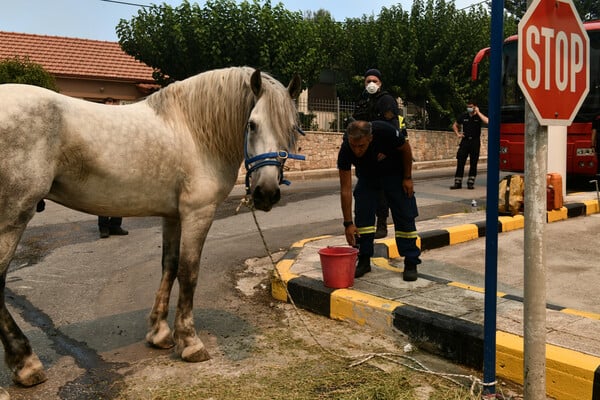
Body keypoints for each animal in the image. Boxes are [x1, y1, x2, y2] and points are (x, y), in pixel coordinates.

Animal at [0, 67, 300, 390]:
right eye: (252, 125)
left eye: (292, 129)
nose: (266, 193)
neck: (194, 132)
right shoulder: (198, 213)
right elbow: (189, 273)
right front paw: (190, 343)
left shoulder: (173, 216)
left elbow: (169, 266)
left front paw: (160, 334)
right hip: (12, 219)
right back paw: (27, 364)